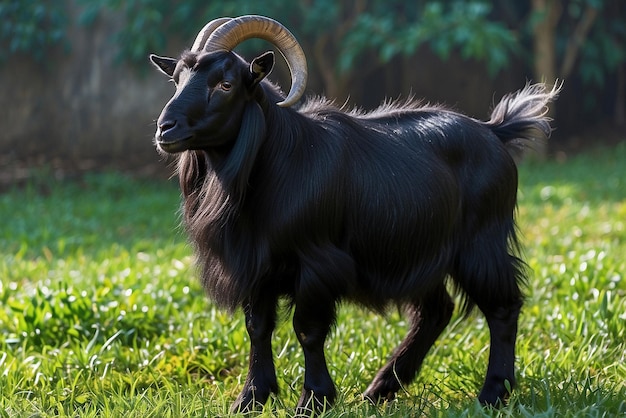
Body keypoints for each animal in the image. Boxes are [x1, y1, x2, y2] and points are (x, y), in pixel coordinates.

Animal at [150, 14, 556, 416]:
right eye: (177, 80)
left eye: (226, 83)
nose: (164, 129)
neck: (276, 164)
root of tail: (495, 132)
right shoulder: (255, 267)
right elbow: (258, 327)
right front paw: (251, 399)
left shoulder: (316, 262)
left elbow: (308, 330)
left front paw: (313, 400)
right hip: (420, 254)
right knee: (436, 311)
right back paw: (380, 389)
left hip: (480, 243)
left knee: (502, 308)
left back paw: (492, 394)